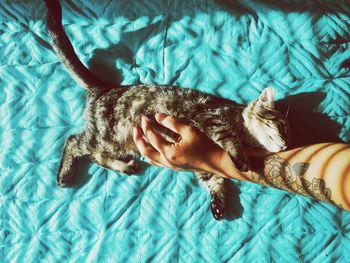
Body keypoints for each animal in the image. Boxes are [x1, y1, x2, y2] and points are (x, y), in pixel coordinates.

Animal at [44, 0, 290, 222]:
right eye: (280, 125)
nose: (286, 145)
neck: (242, 126)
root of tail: (105, 86)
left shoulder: (201, 163)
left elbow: (212, 179)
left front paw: (218, 203)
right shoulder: (211, 119)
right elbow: (229, 140)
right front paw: (242, 161)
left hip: (114, 143)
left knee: (96, 156)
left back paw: (124, 166)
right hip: (106, 134)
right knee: (74, 141)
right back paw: (65, 175)